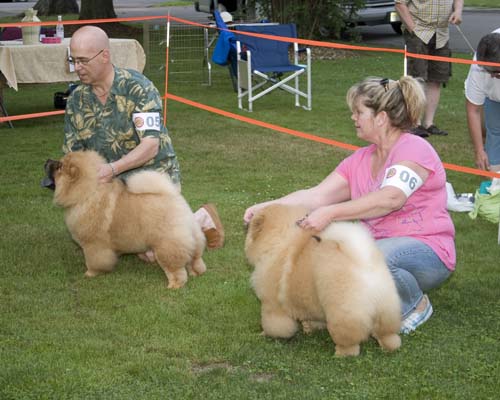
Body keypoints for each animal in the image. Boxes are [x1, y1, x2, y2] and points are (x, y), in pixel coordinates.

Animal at [42, 150, 206, 289]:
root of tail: (174, 197)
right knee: (195, 257)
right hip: (192, 236)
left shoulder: (94, 244)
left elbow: (94, 260)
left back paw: (174, 285)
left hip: (167, 244)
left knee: (176, 268)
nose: (47, 160)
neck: (87, 194)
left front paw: (91, 273)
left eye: (59, 166)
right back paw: (196, 272)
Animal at [245, 204, 401, 356]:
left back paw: (340, 354)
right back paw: (388, 347)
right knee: (387, 334)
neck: (278, 241)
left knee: (350, 341)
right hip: (387, 307)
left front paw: (266, 334)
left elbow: (273, 323)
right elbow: (312, 318)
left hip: (343, 311)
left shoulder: (271, 304)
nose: (247, 223)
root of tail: (362, 260)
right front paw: (309, 328)